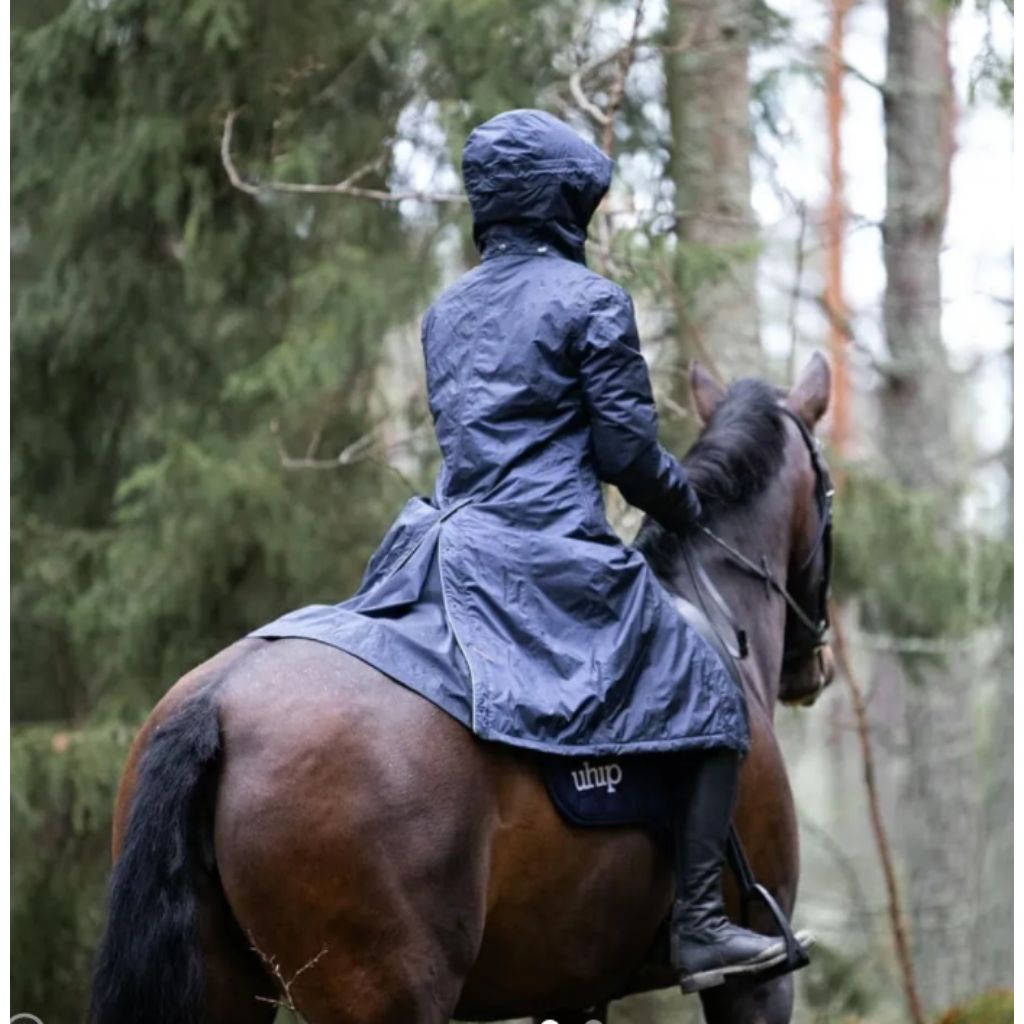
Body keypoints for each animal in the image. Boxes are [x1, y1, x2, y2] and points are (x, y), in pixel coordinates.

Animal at [90, 353, 835, 1024]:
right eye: (829, 492)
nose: (814, 669)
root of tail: (216, 701)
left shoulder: (568, 992)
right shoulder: (755, 987)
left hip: (226, 987)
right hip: (386, 993)